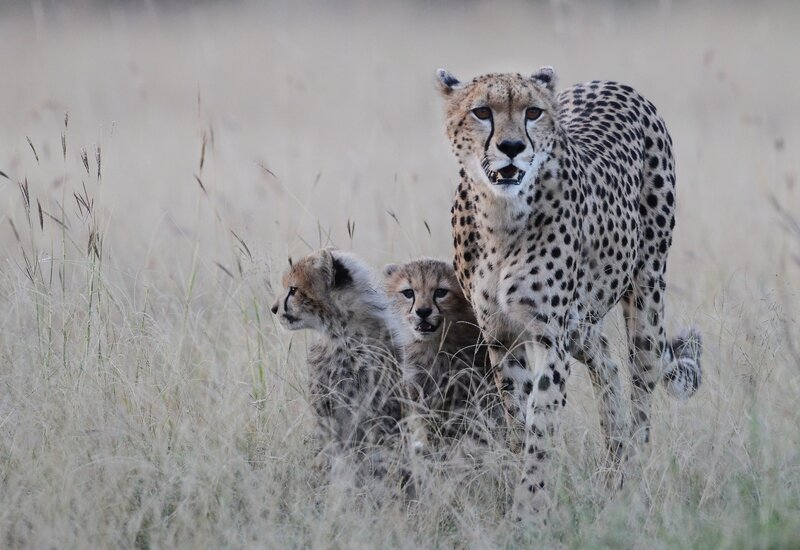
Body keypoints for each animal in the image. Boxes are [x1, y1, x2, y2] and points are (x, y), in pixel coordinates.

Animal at [435, 66, 703, 520]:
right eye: (482, 112)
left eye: (533, 112)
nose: (512, 148)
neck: (500, 216)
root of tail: (613, 83)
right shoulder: (501, 337)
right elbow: (518, 420)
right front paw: (521, 494)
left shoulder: (549, 336)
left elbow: (541, 426)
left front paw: (529, 511)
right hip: (581, 323)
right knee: (607, 364)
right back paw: (614, 459)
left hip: (646, 297)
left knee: (642, 386)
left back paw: (631, 481)